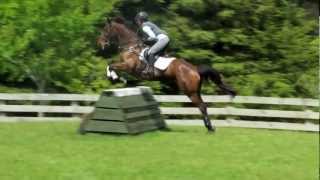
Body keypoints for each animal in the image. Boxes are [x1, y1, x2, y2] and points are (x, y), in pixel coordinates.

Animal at [96, 17, 236, 132]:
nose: (100, 43)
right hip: (195, 90)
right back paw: (209, 126)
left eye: (105, 30)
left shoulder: (129, 67)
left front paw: (114, 78)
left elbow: (111, 65)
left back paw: (210, 128)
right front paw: (119, 79)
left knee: (202, 106)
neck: (131, 47)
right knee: (203, 105)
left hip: (189, 91)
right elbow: (111, 65)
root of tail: (195, 69)